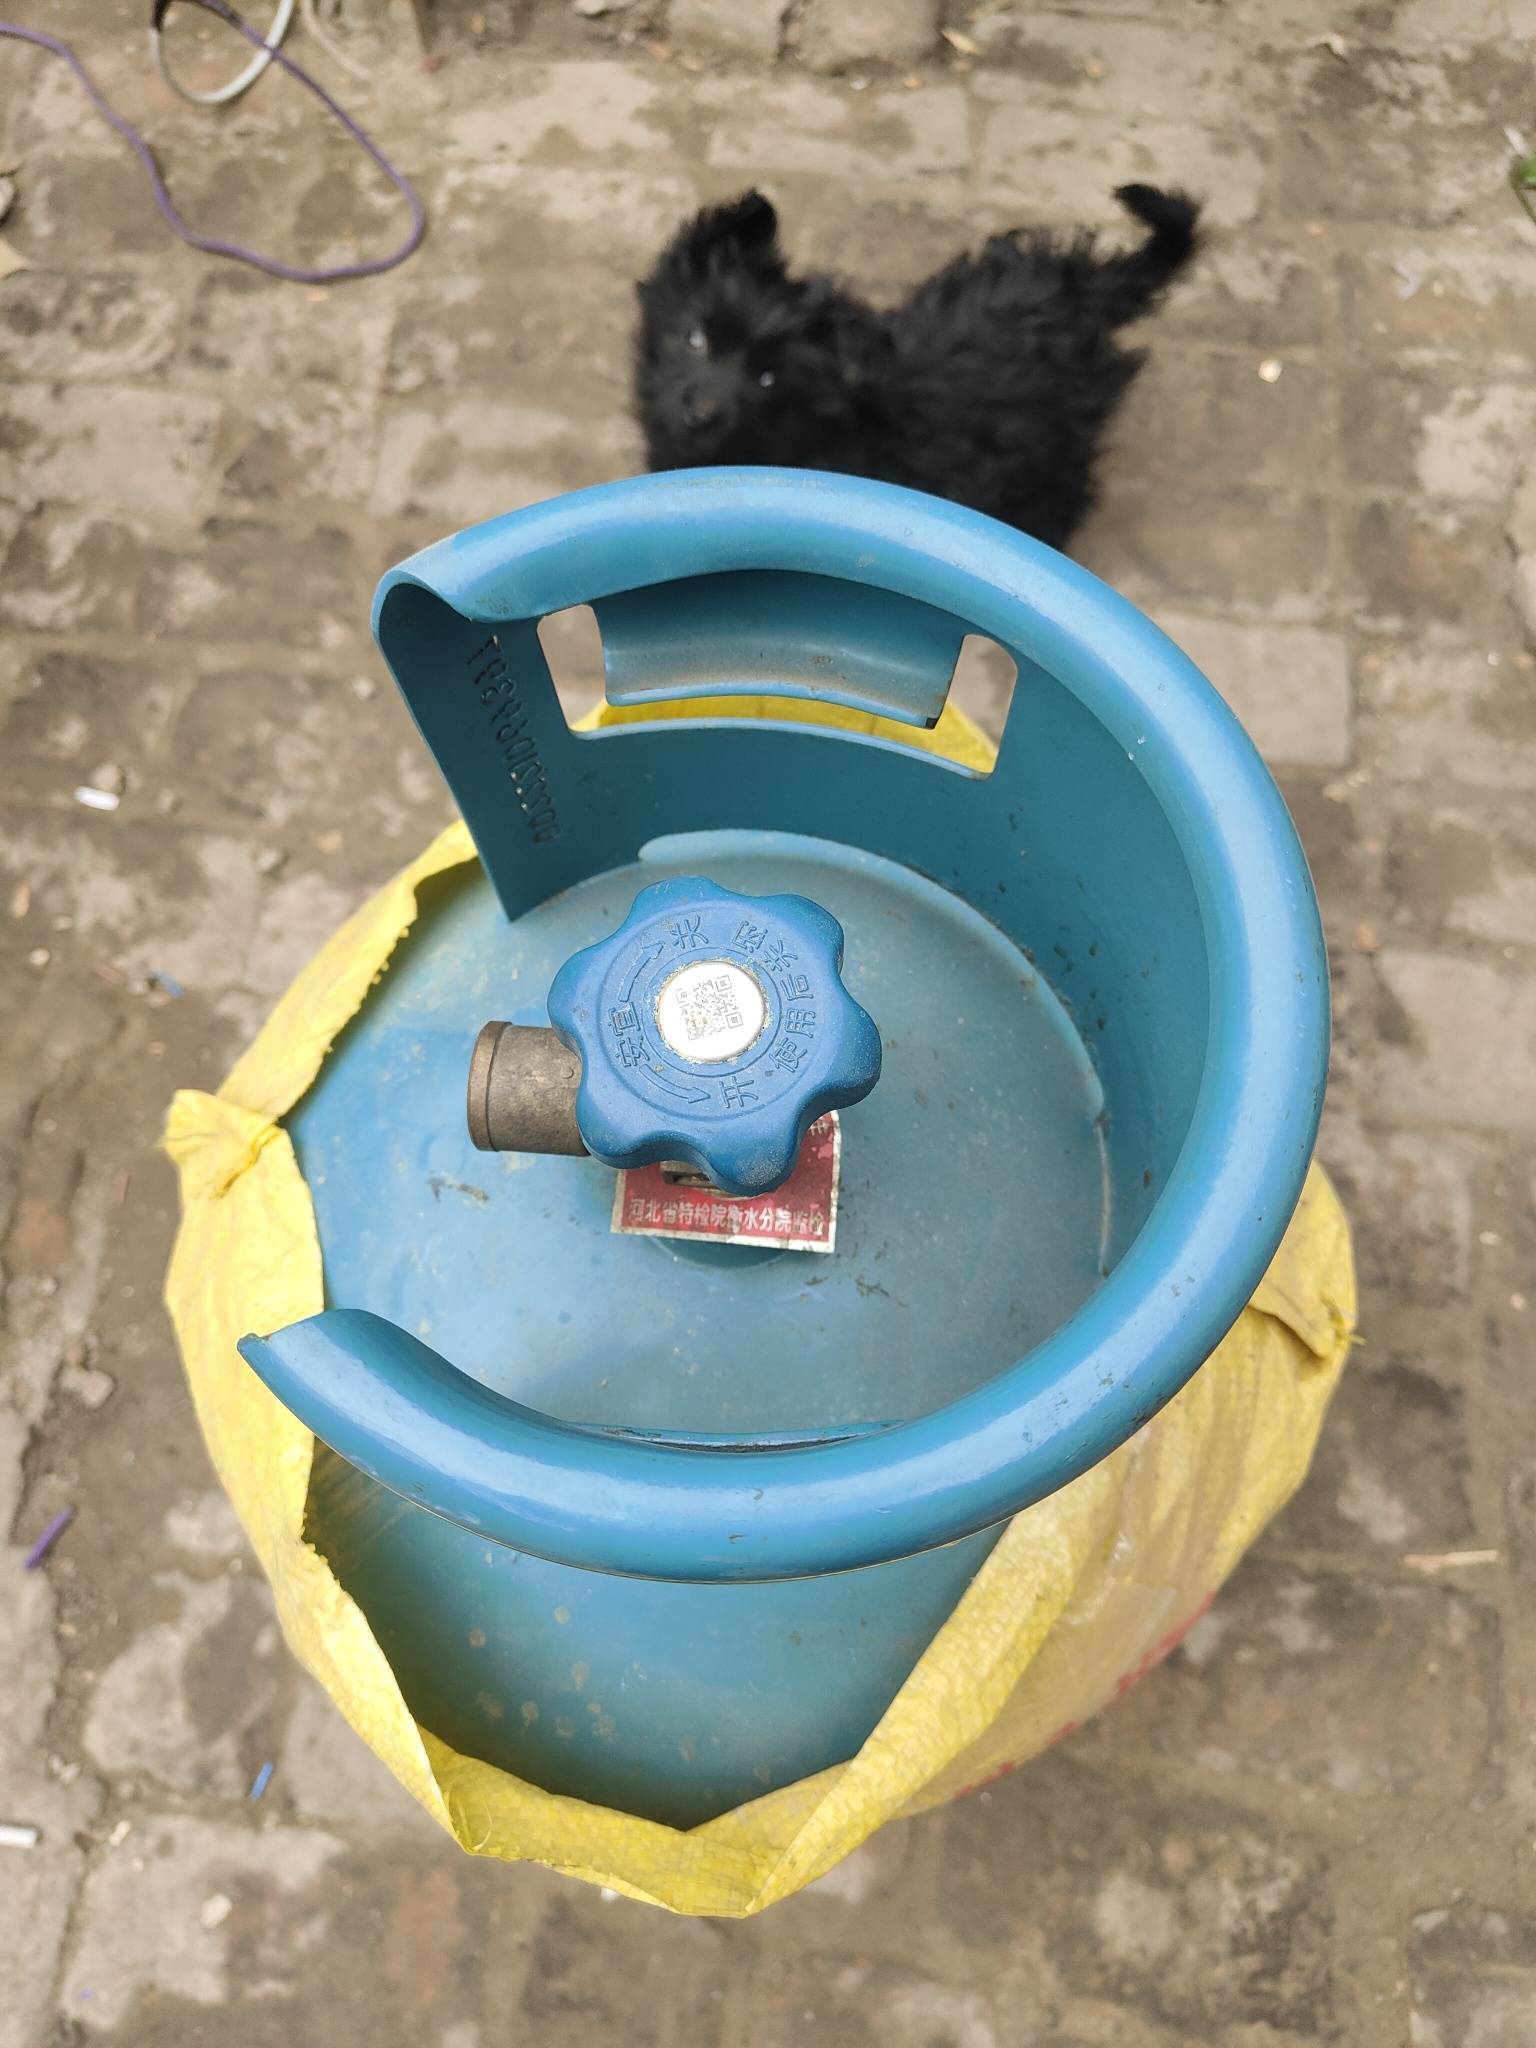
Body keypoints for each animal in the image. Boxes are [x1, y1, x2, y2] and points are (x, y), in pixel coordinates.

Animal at [634, 184, 1201, 552]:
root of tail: (1087, 286)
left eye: (768, 381)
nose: (698, 413)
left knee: (1070, 486)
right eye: (695, 337)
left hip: (1058, 433)